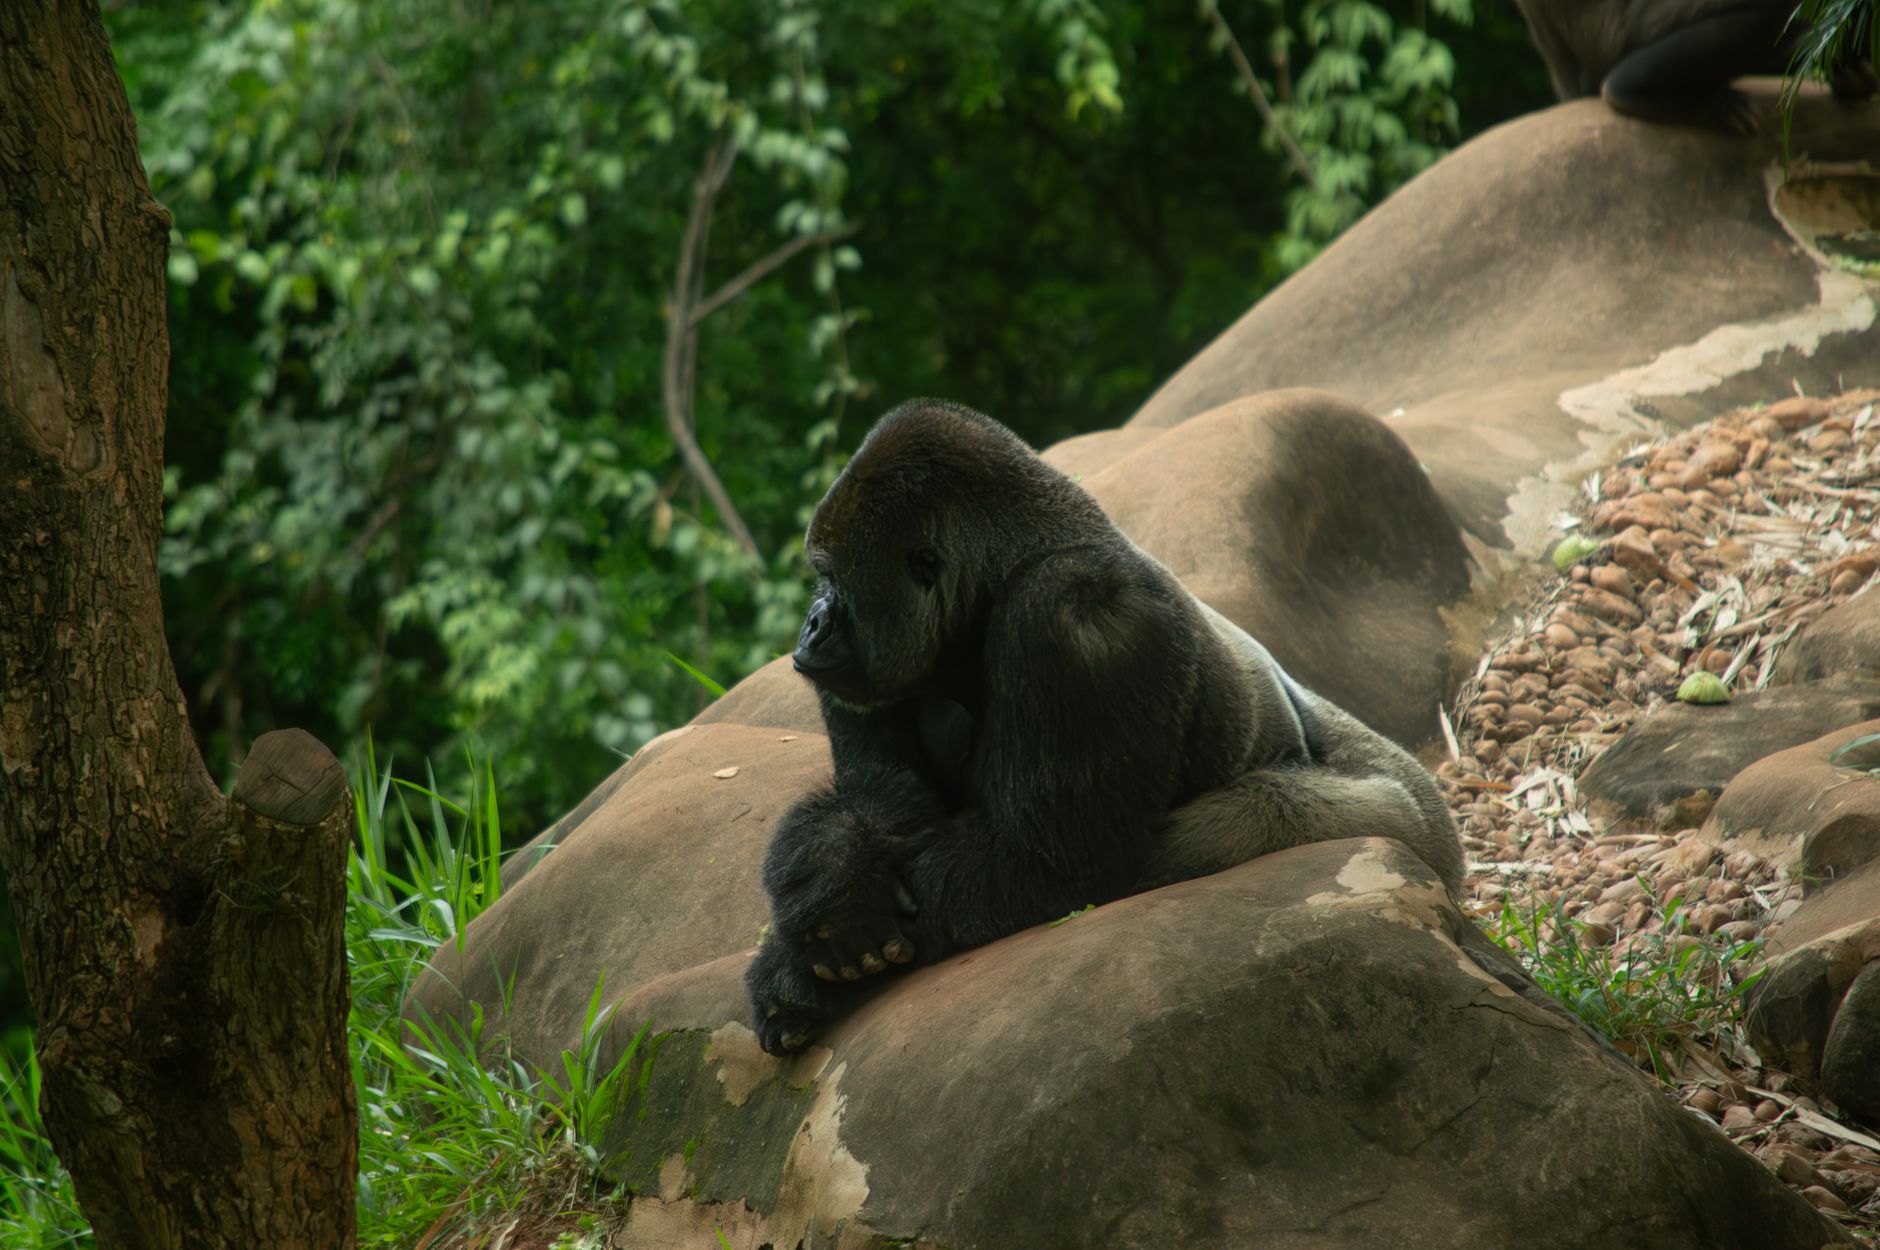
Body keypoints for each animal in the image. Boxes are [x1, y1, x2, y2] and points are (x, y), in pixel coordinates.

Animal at [743, 400, 1465, 1057]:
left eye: (831, 579)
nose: (811, 624)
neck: (999, 575)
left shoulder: (1075, 616)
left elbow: (1045, 863)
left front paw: (796, 953)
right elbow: (878, 801)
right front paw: (830, 872)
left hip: (1405, 814)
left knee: (1253, 816)